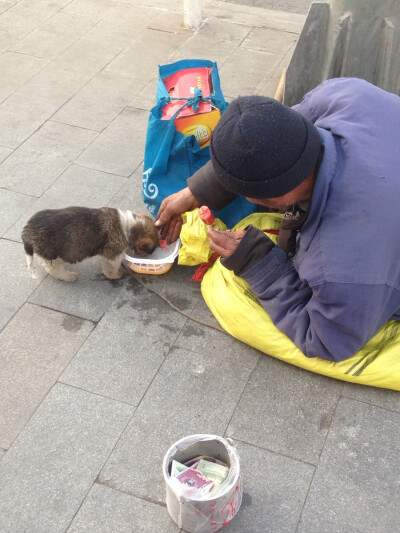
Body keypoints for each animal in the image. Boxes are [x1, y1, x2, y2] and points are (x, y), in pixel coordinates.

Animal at [21, 206, 159, 282]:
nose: (149, 256)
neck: (128, 225)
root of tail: (28, 227)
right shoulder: (112, 255)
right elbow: (111, 269)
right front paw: (116, 275)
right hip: (53, 253)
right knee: (52, 268)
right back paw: (68, 276)